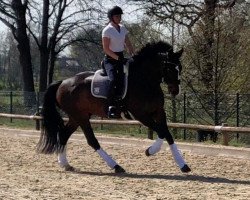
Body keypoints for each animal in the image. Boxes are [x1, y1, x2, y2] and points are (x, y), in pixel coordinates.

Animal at [36, 41, 190, 173]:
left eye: (180, 68)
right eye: (169, 68)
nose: (175, 90)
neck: (145, 81)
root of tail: (63, 82)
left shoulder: (158, 112)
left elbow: (167, 134)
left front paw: (183, 165)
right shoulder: (140, 115)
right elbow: (161, 132)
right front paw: (149, 151)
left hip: (77, 117)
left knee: (63, 135)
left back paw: (65, 164)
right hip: (81, 117)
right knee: (91, 140)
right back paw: (116, 166)